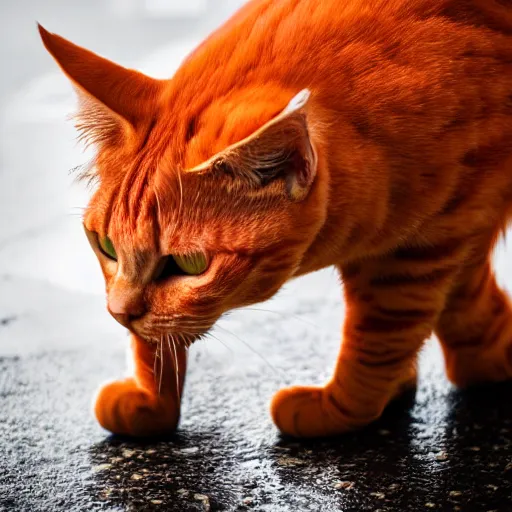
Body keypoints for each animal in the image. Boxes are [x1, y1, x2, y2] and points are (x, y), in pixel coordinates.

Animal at [39, 0, 512, 438]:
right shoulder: (455, 222)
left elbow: (376, 340)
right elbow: (464, 302)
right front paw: (152, 401)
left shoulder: (417, 252)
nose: (119, 313)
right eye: (106, 246)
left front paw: (339, 407)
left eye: (190, 264)